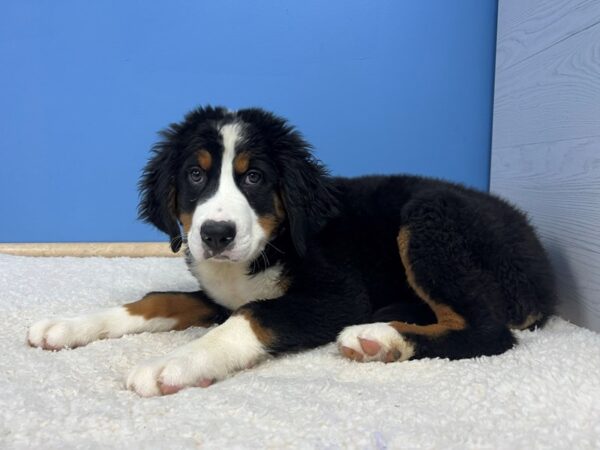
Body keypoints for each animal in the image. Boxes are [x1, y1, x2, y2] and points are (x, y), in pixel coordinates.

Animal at [28, 106, 556, 398]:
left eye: (254, 177)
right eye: (195, 175)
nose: (216, 234)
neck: (268, 245)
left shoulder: (336, 296)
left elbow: (254, 316)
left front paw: (175, 364)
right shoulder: (219, 297)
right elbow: (159, 298)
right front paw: (69, 326)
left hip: (429, 219)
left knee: (488, 331)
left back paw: (380, 338)